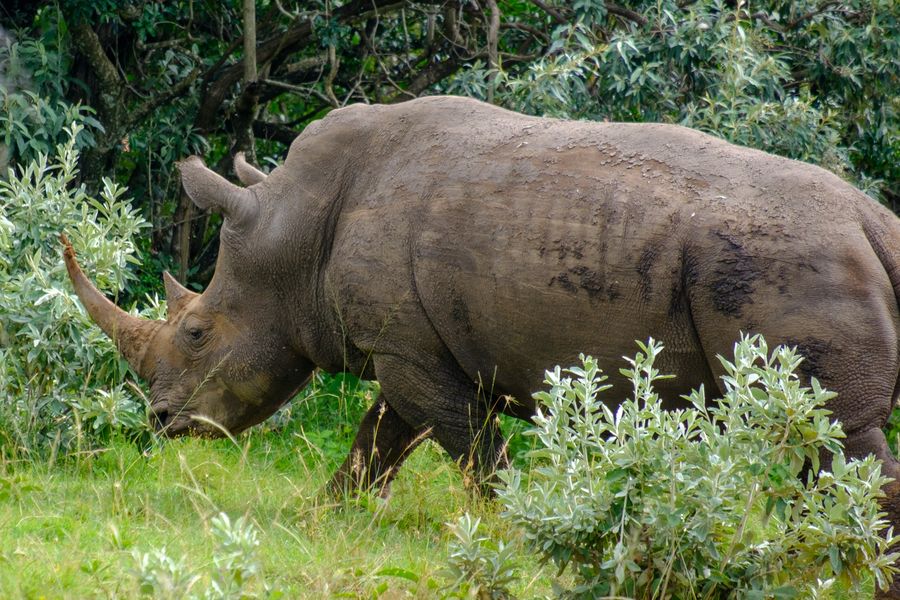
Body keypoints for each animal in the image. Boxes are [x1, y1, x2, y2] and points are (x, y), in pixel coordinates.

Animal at [64, 95, 900, 590]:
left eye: (197, 333)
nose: (160, 421)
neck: (296, 232)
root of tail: (873, 221)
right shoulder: (408, 346)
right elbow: (378, 440)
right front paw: (322, 519)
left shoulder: (411, 353)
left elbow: (470, 450)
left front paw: (513, 535)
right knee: (814, 443)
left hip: (787, 266)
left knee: (837, 437)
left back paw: (857, 571)